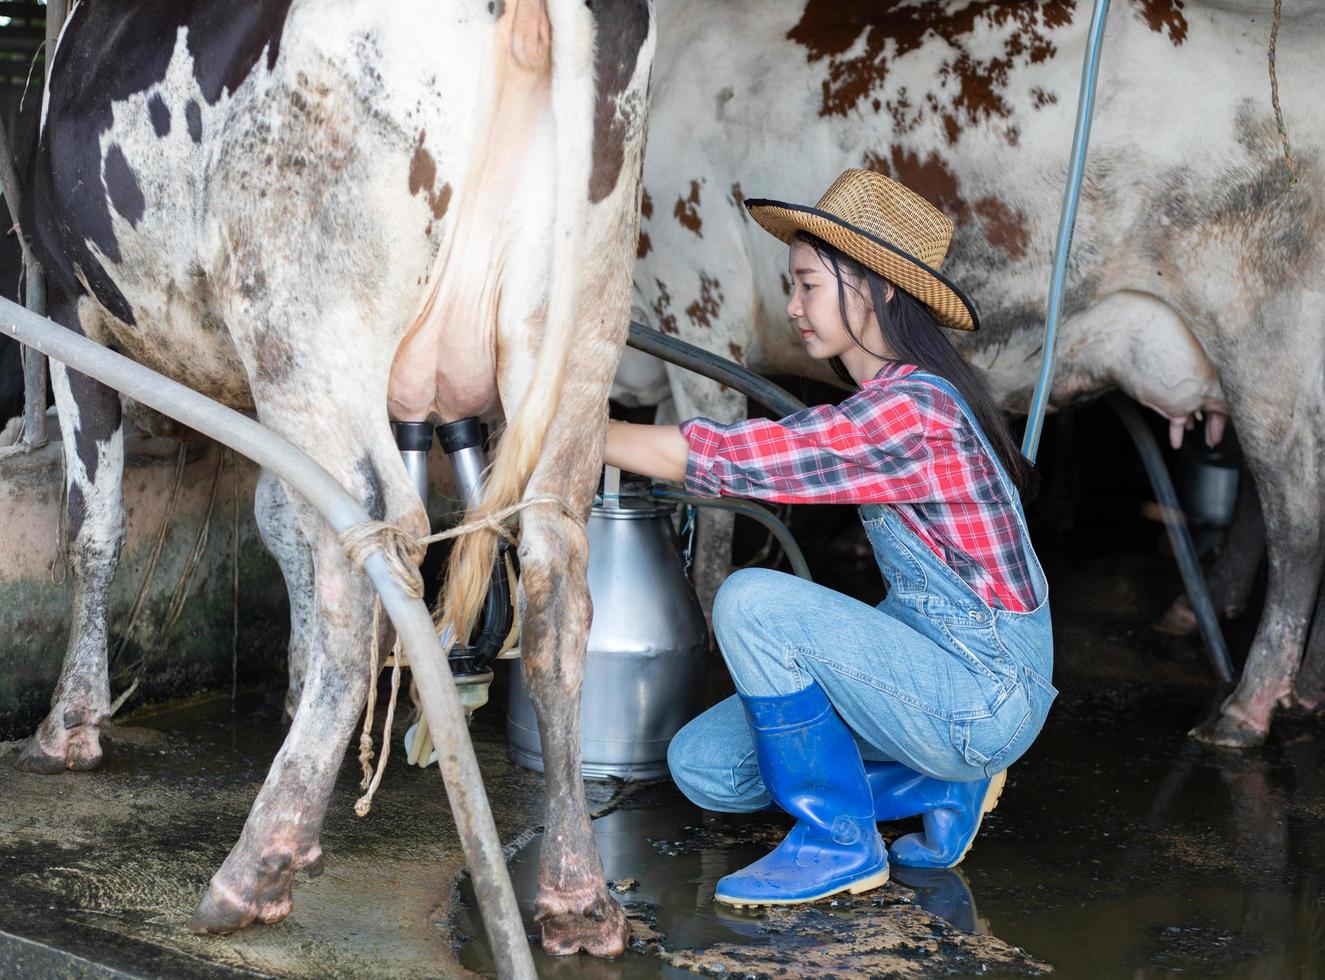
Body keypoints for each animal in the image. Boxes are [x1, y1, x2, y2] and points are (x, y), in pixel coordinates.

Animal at [19, 0, 657, 958]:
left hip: (301, 318)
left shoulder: (67, 306)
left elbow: (93, 525)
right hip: (581, 320)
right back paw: (577, 897)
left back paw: (259, 863)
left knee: (373, 552)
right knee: (553, 572)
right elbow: (279, 520)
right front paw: (291, 683)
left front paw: (71, 723)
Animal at [622, 0, 1325, 752]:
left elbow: (711, 520)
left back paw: (1245, 707)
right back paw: (1294, 682)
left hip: (1262, 349)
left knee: (1296, 520)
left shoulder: (699, 312)